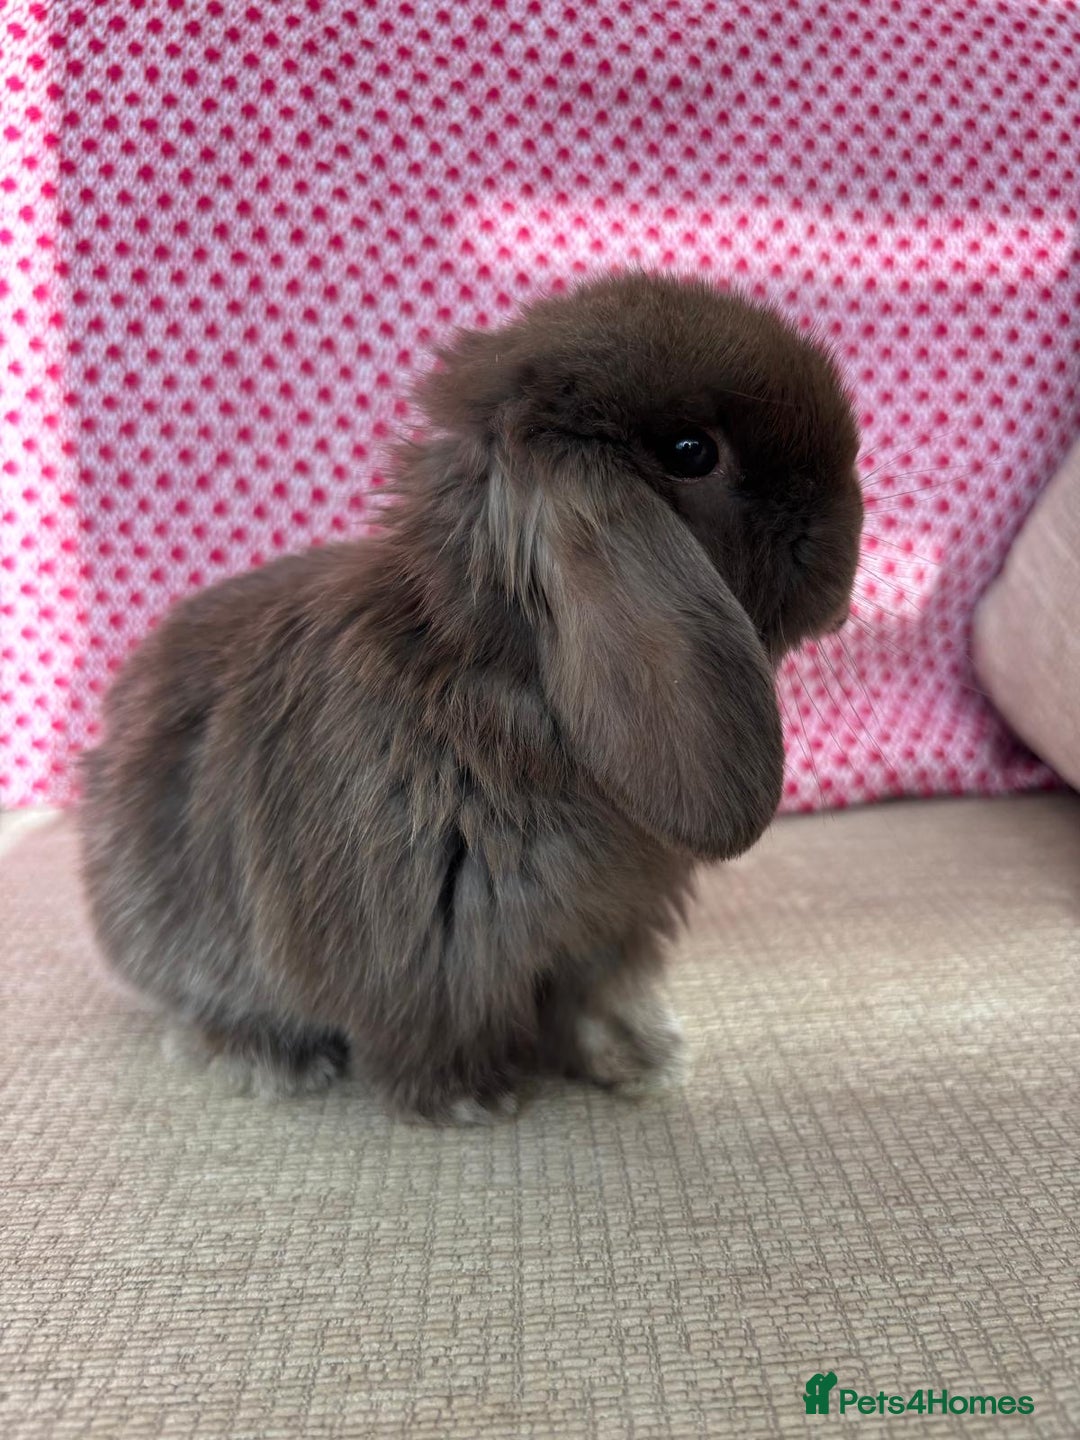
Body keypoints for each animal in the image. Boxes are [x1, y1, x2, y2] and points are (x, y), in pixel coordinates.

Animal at [78, 271, 863, 1122]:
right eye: (691, 453)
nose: (847, 543)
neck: (504, 675)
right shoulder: (429, 960)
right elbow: (430, 1033)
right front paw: (469, 1100)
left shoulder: (605, 936)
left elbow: (592, 1006)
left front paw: (639, 1061)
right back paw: (267, 1057)